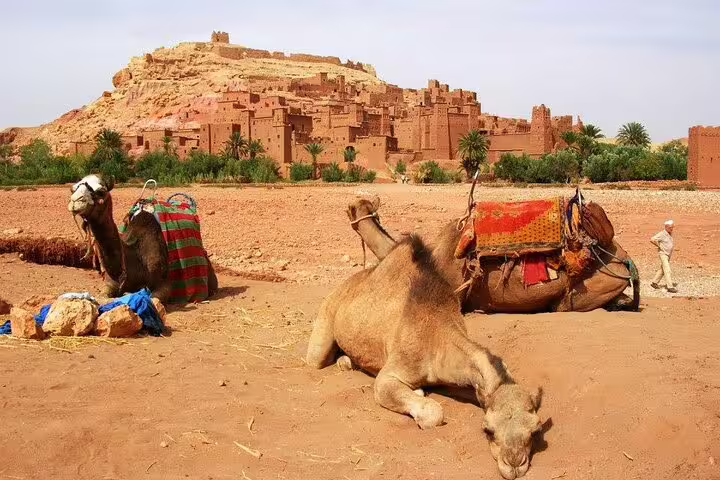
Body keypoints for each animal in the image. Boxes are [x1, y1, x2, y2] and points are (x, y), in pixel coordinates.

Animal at [307, 235, 543, 480]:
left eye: (535, 430)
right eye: (488, 429)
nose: (514, 463)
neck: (436, 335)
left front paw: (420, 390)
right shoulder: (391, 373)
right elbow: (432, 412)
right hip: (325, 321)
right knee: (317, 358)